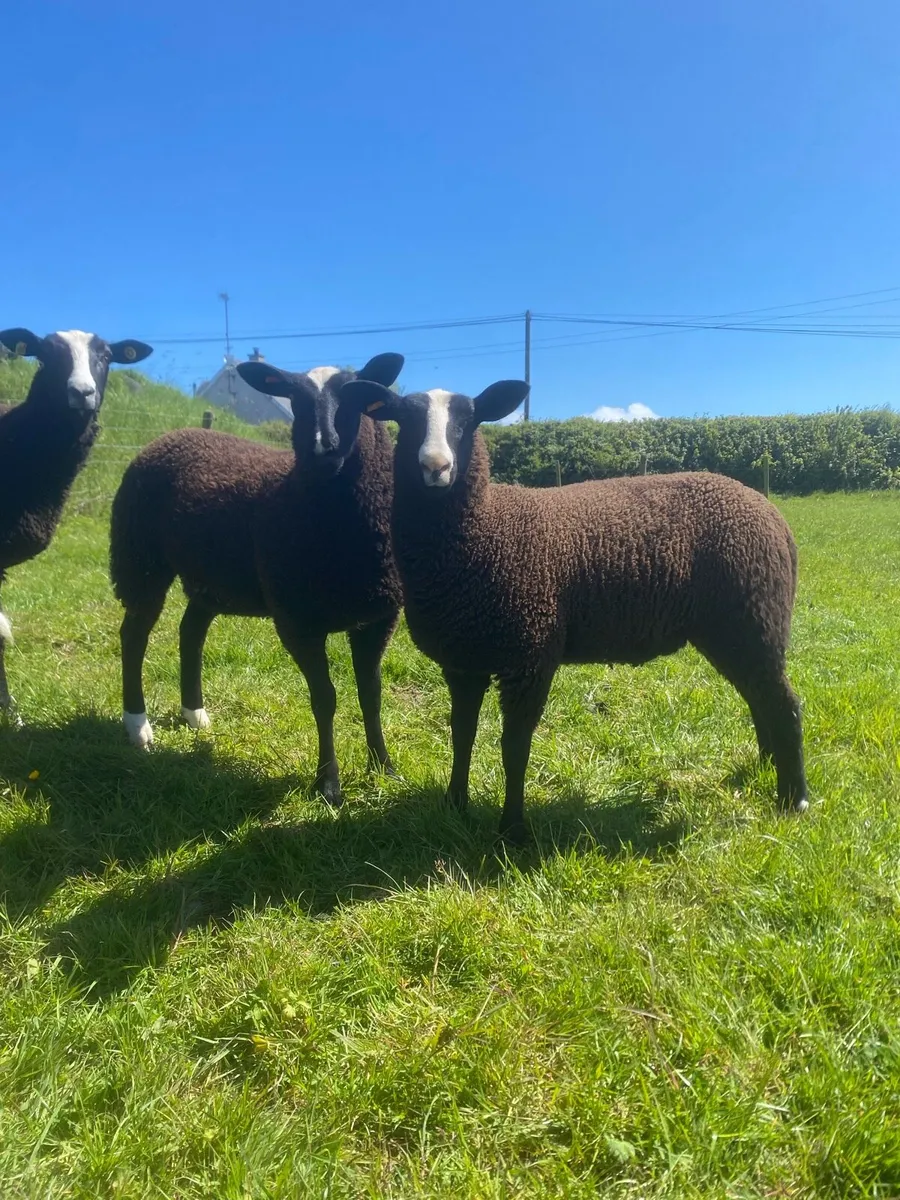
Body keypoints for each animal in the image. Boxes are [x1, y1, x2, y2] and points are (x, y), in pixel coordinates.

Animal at [109, 353, 405, 806]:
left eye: (356, 397)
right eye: (294, 400)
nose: (324, 449)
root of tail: (172, 435)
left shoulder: (378, 617)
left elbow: (370, 694)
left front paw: (384, 769)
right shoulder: (297, 619)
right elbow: (325, 699)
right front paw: (329, 786)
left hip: (209, 577)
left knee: (190, 631)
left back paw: (194, 713)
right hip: (141, 559)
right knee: (134, 636)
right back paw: (138, 725)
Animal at [341, 377, 809, 842]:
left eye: (468, 420)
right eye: (404, 419)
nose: (436, 467)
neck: (483, 530)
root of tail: (774, 517)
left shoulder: (530, 655)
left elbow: (515, 747)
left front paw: (513, 829)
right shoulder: (463, 660)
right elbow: (462, 734)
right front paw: (455, 805)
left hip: (752, 618)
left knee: (784, 704)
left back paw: (794, 800)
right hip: (738, 627)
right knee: (759, 698)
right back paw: (765, 767)